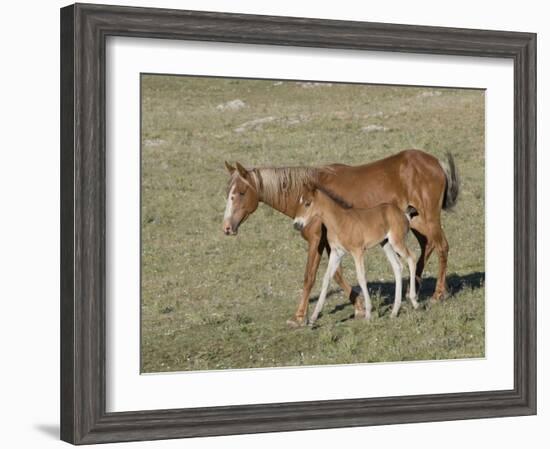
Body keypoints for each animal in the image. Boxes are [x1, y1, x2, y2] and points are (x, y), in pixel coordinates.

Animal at [296, 186, 420, 322]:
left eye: (308, 203)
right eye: (300, 202)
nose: (297, 224)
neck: (339, 221)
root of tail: (404, 214)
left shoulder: (357, 251)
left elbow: (361, 277)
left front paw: (368, 314)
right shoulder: (336, 253)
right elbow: (326, 278)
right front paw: (313, 317)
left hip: (397, 242)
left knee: (412, 258)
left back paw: (414, 302)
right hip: (386, 244)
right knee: (397, 266)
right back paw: (394, 311)